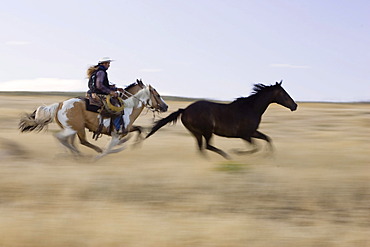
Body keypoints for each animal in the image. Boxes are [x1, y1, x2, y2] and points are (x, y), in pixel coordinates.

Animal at [20, 81, 168, 158]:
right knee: (64, 138)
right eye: (158, 95)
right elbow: (110, 148)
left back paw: (75, 155)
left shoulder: (126, 129)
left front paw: (134, 143)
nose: (165, 106)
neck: (127, 107)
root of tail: (59, 105)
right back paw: (80, 155)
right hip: (74, 128)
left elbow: (139, 129)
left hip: (74, 129)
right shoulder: (116, 133)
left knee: (72, 141)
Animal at [147, 80, 298, 159]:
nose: (295, 105)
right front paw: (237, 151)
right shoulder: (245, 135)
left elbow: (267, 139)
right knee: (207, 146)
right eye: (284, 93)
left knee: (201, 148)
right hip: (207, 131)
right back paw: (226, 156)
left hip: (197, 133)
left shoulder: (252, 132)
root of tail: (185, 110)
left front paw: (269, 155)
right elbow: (255, 147)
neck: (251, 108)